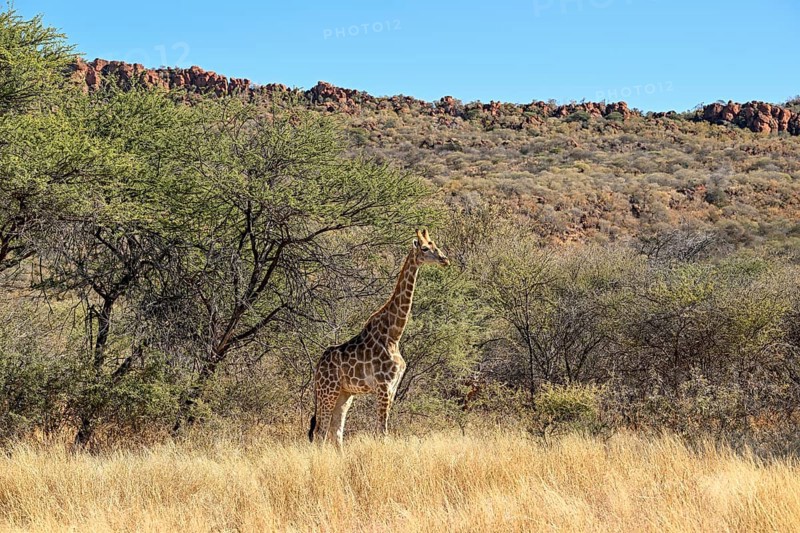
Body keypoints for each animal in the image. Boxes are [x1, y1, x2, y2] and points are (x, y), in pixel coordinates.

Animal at [309, 228, 450, 446]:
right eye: (425, 248)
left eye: (436, 245)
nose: (445, 260)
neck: (394, 335)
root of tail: (317, 367)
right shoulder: (384, 386)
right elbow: (382, 432)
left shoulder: (393, 387)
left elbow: (381, 430)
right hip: (327, 390)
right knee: (320, 432)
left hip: (344, 393)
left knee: (336, 431)